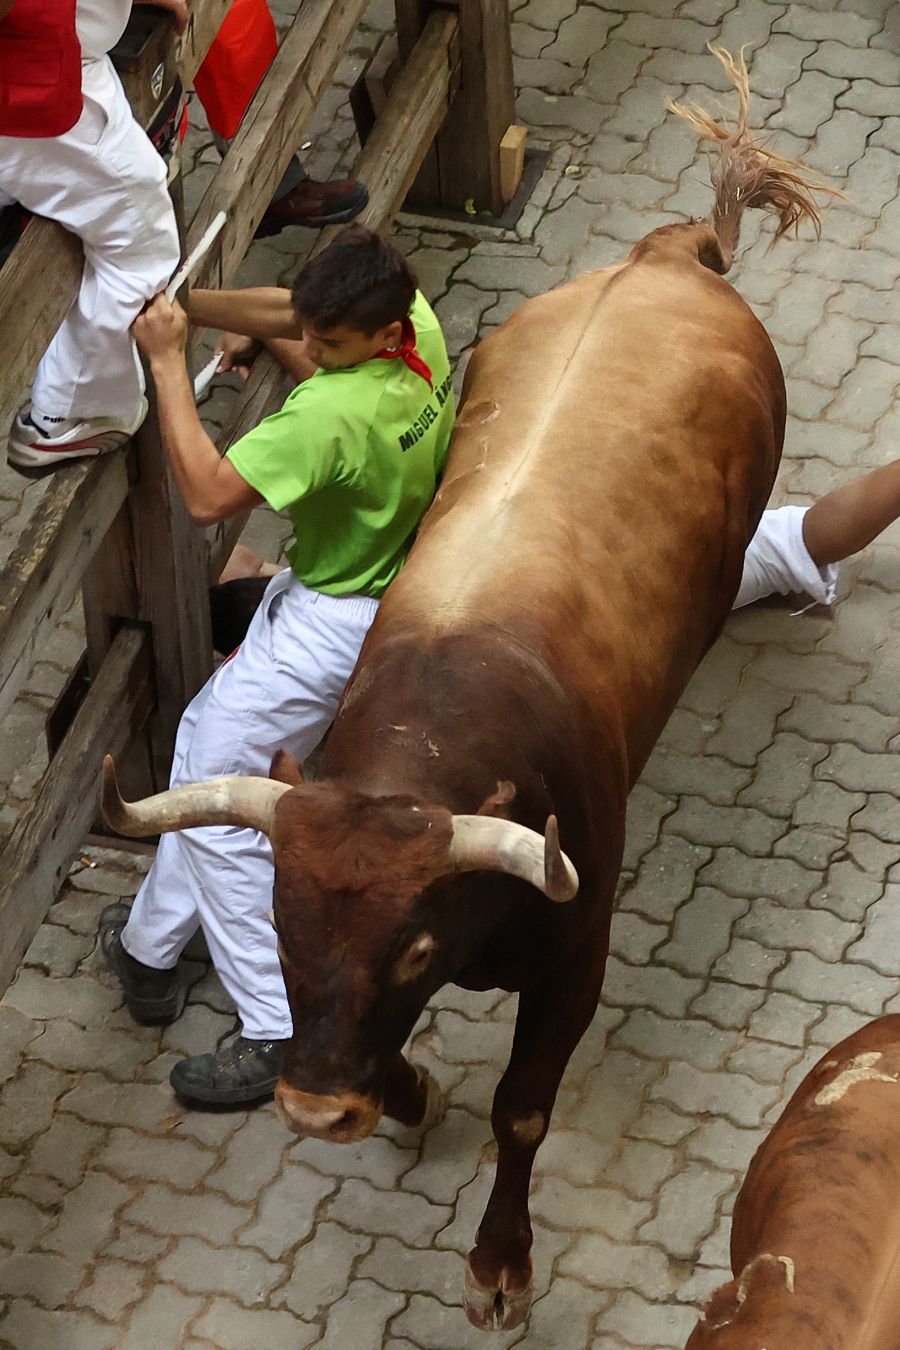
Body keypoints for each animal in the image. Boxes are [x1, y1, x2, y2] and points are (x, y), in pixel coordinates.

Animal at [100, 49, 836, 1328]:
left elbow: (522, 1110)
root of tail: (664, 258)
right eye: (283, 928)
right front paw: (402, 1097)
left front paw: (500, 1261)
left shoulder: (576, 952)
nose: (312, 1110)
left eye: (411, 952)